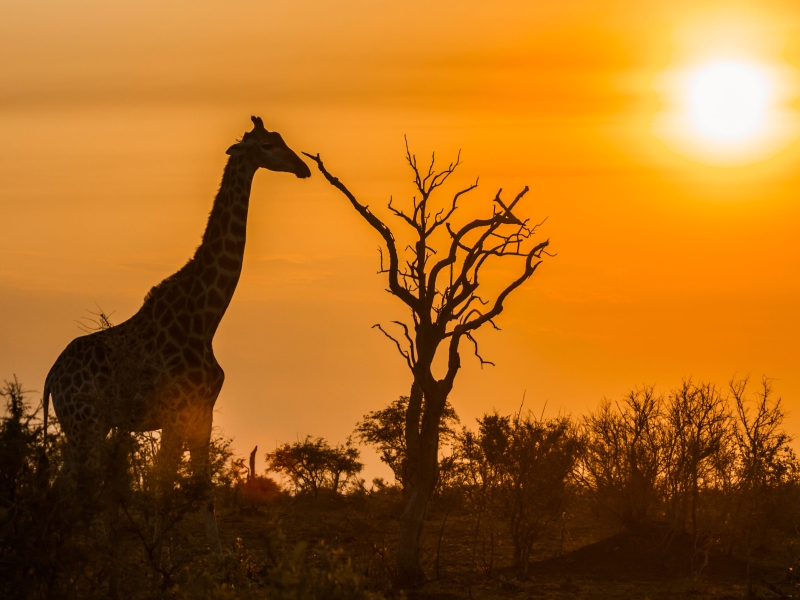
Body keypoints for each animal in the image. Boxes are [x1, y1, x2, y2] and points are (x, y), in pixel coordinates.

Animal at [40, 115, 310, 552]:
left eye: (281, 138)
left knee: (60, 487)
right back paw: (97, 550)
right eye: (268, 146)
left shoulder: (203, 409)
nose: (302, 167)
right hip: (87, 425)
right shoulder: (173, 411)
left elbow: (202, 489)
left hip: (83, 426)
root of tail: (51, 376)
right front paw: (157, 552)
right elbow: (162, 487)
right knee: (84, 487)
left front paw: (218, 556)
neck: (205, 317)